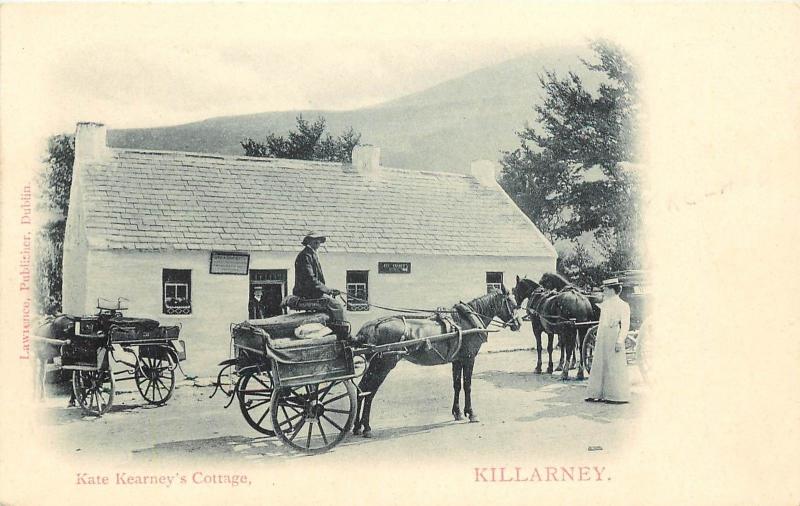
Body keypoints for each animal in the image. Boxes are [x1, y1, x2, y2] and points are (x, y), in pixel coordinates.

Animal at [350, 286, 520, 436]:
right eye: (513, 304)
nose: (518, 324)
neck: (467, 321)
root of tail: (370, 328)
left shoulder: (457, 360)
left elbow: (457, 385)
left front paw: (458, 413)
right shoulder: (469, 358)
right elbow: (468, 386)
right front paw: (471, 413)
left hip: (373, 366)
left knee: (361, 389)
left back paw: (357, 426)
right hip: (382, 365)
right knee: (369, 392)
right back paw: (366, 427)